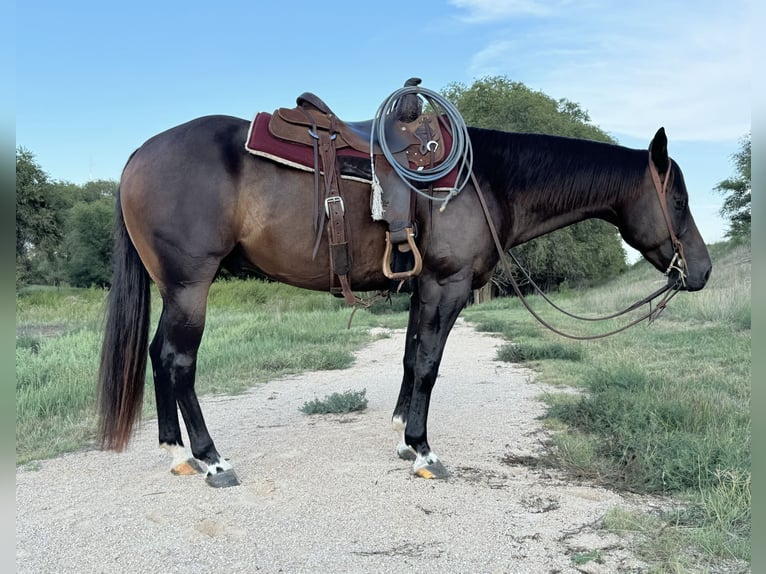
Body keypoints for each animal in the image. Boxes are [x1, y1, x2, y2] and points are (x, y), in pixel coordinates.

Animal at [96, 115, 712, 488]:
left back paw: (176, 453)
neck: (483, 180)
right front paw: (422, 450)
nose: (702, 271)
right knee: (178, 362)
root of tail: (138, 155)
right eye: (679, 201)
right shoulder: (447, 284)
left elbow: (411, 357)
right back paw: (211, 458)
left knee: (158, 356)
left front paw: (401, 435)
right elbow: (428, 364)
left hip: (174, 290)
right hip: (190, 286)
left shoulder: (424, 288)